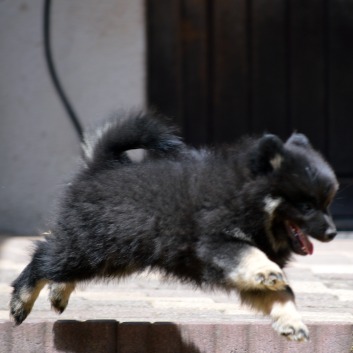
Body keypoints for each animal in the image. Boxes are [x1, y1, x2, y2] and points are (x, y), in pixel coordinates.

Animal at [9, 111, 336, 340]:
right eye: (307, 206)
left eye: (327, 203)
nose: (332, 232)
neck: (245, 200)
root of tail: (100, 166)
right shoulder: (218, 242)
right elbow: (251, 256)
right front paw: (268, 270)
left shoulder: (236, 272)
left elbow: (282, 293)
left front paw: (291, 321)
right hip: (94, 245)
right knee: (44, 257)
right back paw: (21, 302)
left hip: (110, 255)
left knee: (59, 263)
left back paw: (58, 292)